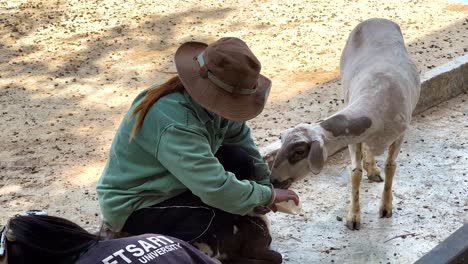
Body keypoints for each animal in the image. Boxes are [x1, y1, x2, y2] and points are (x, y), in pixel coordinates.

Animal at [270, 18, 420, 229]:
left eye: (299, 151)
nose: (273, 180)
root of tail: (376, 19)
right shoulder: (353, 138)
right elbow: (355, 173)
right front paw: (354, 217)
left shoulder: (400, 135)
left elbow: (391, 167)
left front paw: (385, 208)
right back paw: (371, 168)